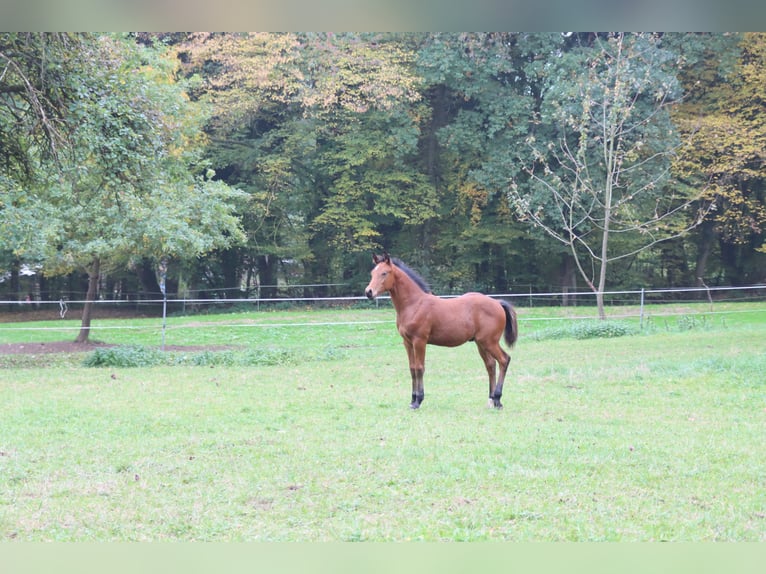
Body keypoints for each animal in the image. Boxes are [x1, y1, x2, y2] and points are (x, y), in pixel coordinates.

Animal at [365, 253, 518, 410]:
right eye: (372, 273)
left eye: (384, 273)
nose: (369, 292)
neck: (414, 304)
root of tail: (497, 303)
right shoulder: (407, 342)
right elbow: (412, 369)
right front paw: (412, 400)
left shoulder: (419, 341)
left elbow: (419, 368)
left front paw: (418, 400)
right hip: (481, 343)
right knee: (491, 365)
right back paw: (491, 400)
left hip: (489, 342)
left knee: (504, 360)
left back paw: (498, 399)